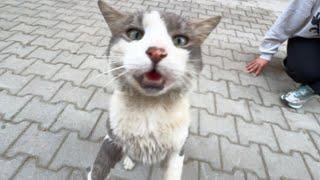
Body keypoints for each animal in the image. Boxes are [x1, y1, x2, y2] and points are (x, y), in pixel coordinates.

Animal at [89, 0, 221, 179]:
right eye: (135, 34)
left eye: (180, 40)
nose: (157, 52)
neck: (151, 108)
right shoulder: (111, 139)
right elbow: (97, 170)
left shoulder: (178, 148)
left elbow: (173, 171)